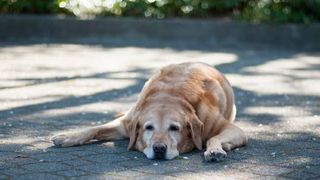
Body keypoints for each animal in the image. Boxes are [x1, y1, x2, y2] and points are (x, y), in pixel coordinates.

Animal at [52, 62, 248, 162]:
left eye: (174, 128)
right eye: (149, 127)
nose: (159, 148)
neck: (170, 95)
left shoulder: (233, 129)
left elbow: (213, 138)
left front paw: (214, 150)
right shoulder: (126, 124)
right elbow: (94, 129)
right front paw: (68, 136)